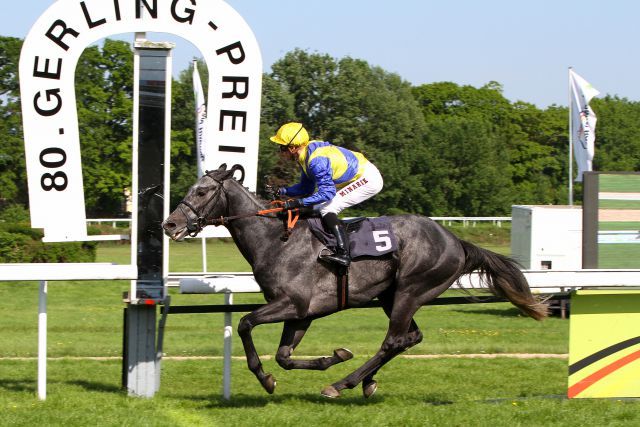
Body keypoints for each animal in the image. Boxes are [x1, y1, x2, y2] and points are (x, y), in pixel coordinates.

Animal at [161, 166, 544, 400]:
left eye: (202, 192)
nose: (170, 224)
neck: (275, 240)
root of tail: (457, 241)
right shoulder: (302, 313)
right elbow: (284, 356)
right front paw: (332, 357)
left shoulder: (293, 303)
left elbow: (244, 323)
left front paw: (266, 378)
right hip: (391, 295)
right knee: (410, 337)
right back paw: (366, 381)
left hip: (410, 290)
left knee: (394, 340)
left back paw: (342, 383)